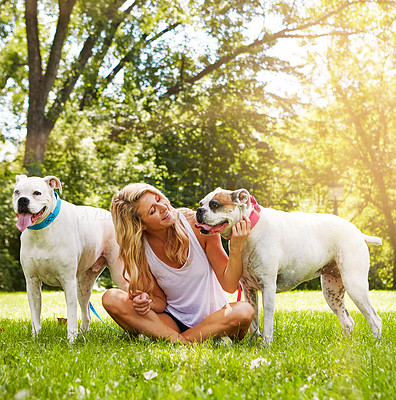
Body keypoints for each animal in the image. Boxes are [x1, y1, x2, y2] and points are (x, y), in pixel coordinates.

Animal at [12, 175, 127, 340]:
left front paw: (71, 340)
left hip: (119, 276)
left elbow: (71, 314)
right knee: (87, 314)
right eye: (17, 192)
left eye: (37, 193)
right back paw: (84, 335)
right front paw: (35, 337)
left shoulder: (68, 281)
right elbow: (35, 315)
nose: (22, 200)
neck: (42, 231)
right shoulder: (32, 283)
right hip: (83, 286)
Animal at [196, 188, 382, 344]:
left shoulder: (268, 288)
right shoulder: (249, 290)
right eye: (201, 203)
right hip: (332, 291)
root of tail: (358, 232)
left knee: (375, 319)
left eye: (215, 205)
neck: (250, 232)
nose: (198, 210)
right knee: (347, 321)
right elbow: (254, 322)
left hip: (354, 285)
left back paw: (375, 344)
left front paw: (266, 345)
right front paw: (252, 343)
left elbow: (267, 322)